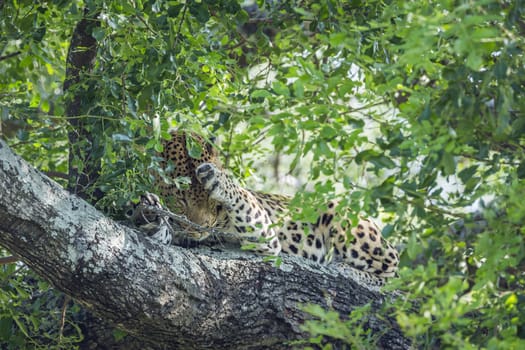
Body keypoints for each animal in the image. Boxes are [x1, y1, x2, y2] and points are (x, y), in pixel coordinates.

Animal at [130, 131, 398, 288]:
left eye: (212, 202)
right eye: (182, 199)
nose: (201, 229)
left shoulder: (265, 234)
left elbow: (239, 195)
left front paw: (218, 179)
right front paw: (151, 215)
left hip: (341, 215)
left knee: (392, 272)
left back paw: (346, 269)